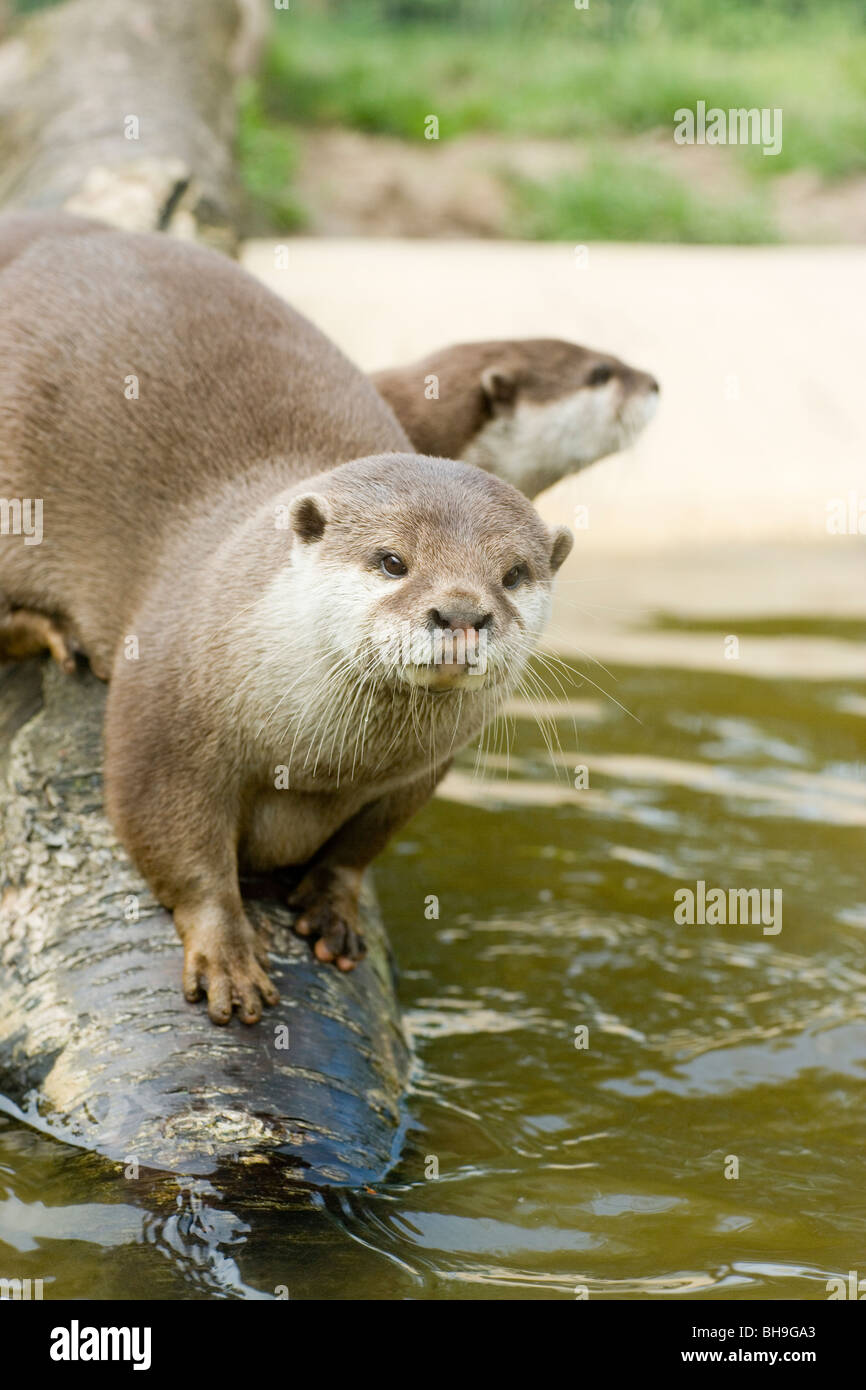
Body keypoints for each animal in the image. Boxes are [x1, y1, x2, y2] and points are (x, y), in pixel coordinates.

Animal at [0, 214, 572, 1023]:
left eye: (514, 575)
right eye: (392, 561)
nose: (461, 610)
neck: (322, 759)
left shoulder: (418, 775)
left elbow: (362, 848)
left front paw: (334, 908)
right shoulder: (164, 721)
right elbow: (178, 846)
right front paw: (227, 958)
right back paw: (53, 634)